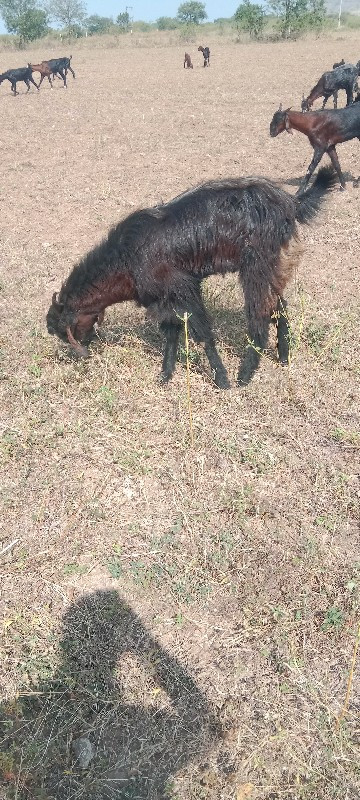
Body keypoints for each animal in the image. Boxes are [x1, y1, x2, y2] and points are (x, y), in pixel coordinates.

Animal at [47, 168, 334, 388]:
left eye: (62, 330)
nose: (82, 349)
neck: (126, 259)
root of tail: (291, 204)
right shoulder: (164, 297)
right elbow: (172, 334)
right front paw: (165, 376)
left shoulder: (183, 287)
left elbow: (203, 332)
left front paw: (222, 380)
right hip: (276, 266)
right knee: (279, 306)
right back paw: (284, 357)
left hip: (257, 266)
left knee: (260, 315)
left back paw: (244, 375)